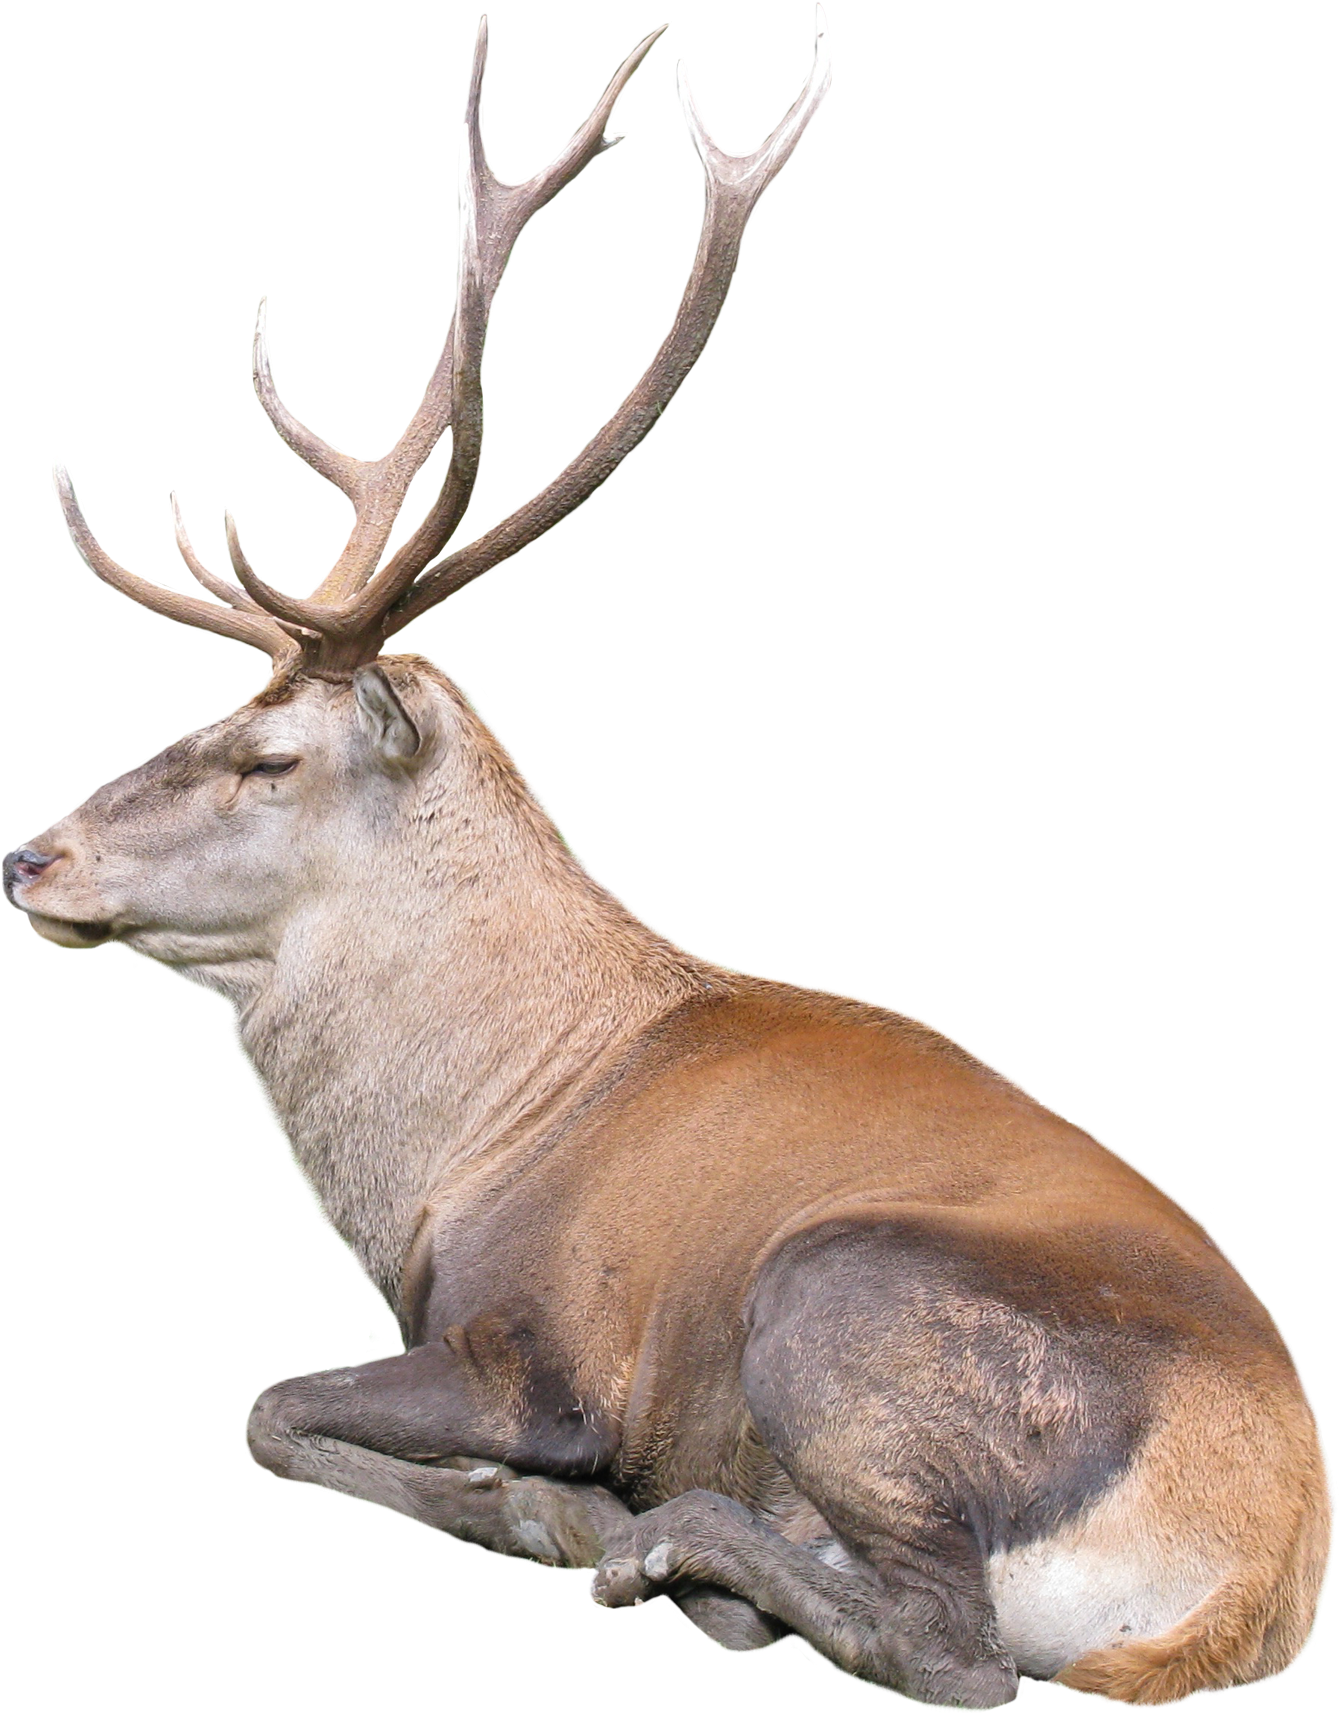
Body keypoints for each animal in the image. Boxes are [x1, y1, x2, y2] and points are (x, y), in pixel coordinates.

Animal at [5, 9, 1329, 1709]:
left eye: (268, 754)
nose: (29, 858)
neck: (462, 1149)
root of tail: (1250, 1582)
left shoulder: (538, 1348)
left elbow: (269, 1406)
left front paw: (540, 1510)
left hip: (838, 1297)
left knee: (951, 1652)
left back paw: (660, 1555)